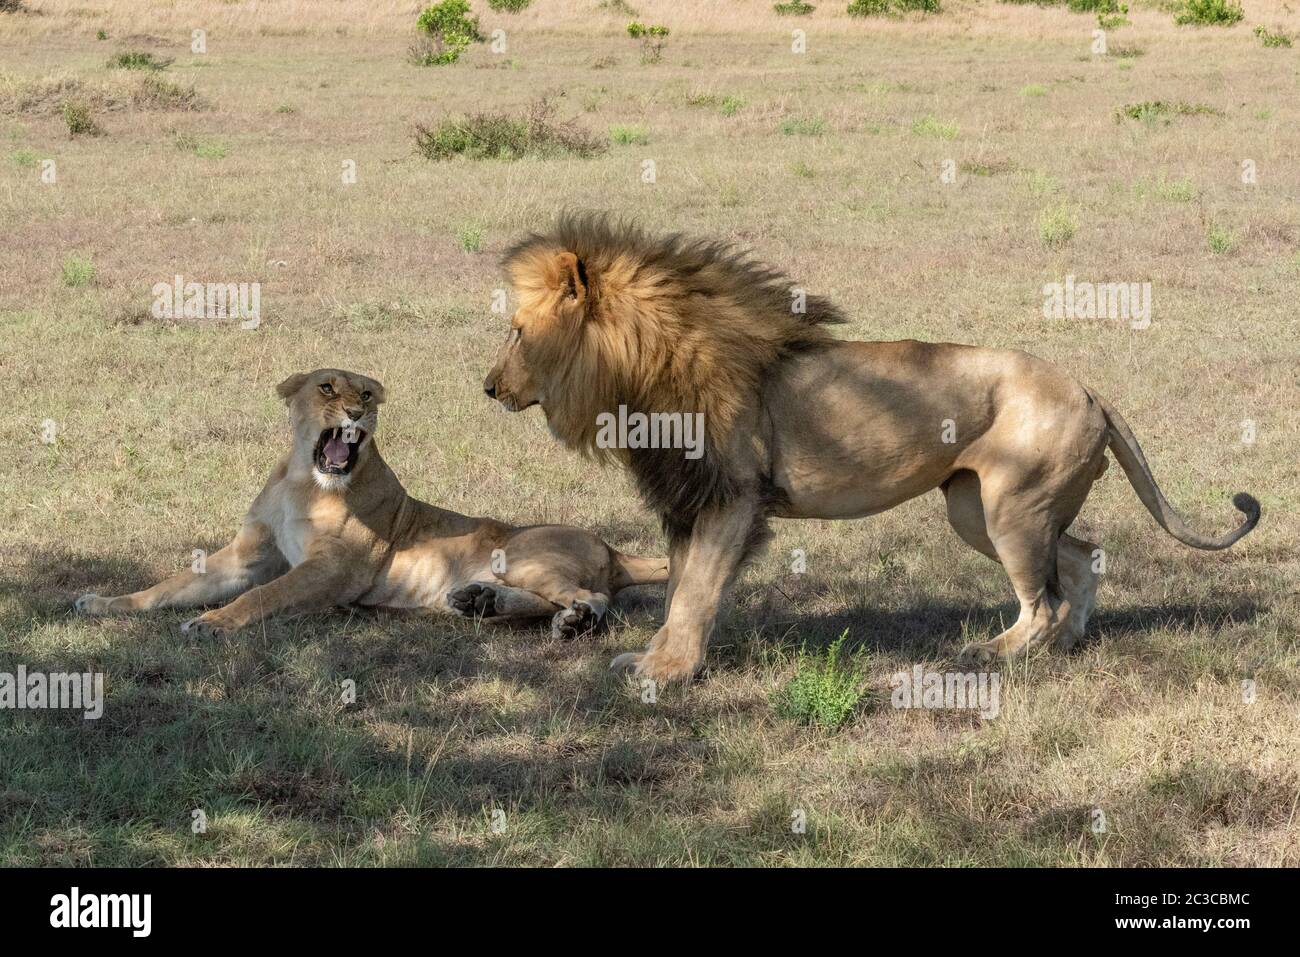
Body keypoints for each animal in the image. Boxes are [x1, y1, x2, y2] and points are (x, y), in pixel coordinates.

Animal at [75, 368, 668, 639]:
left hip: (523, 554)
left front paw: (214, 622)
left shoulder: (331, 569)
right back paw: (480, 601)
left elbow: (265, 595)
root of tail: (613, 549)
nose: (358, 413)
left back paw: (576, 619)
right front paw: (103, 603)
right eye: (327, 387)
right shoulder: (246, 556)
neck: (303, 479)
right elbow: (167, 587)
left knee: (593, 596)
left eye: (366, 394)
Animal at [482, 213, 1260, 683]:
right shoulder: (686, 503)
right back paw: (1065, 644)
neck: (638, 370)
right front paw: (663, 659)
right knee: (1077, 560)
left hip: (1012, 507)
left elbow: (697, 591)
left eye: (517, 331)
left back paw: (990, 653)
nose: (488, 387)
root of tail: (1092, 389)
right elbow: (680, 589)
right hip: (978, 509)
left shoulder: (732, 500)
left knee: (1039, 598)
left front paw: (667, 672)